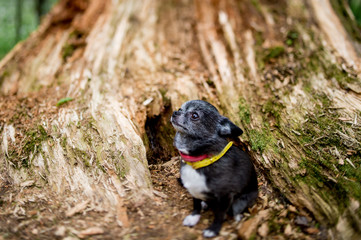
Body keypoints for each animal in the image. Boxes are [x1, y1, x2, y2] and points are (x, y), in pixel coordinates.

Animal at [170, 100, 258, 238]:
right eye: (180, 109)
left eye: (194, 115)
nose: (175, 112)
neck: (201, 160)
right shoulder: (194, 188)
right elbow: (195, 204)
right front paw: (194, 217)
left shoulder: (225, 197)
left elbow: (219, 215)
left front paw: (213, 229)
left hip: (240, 201)